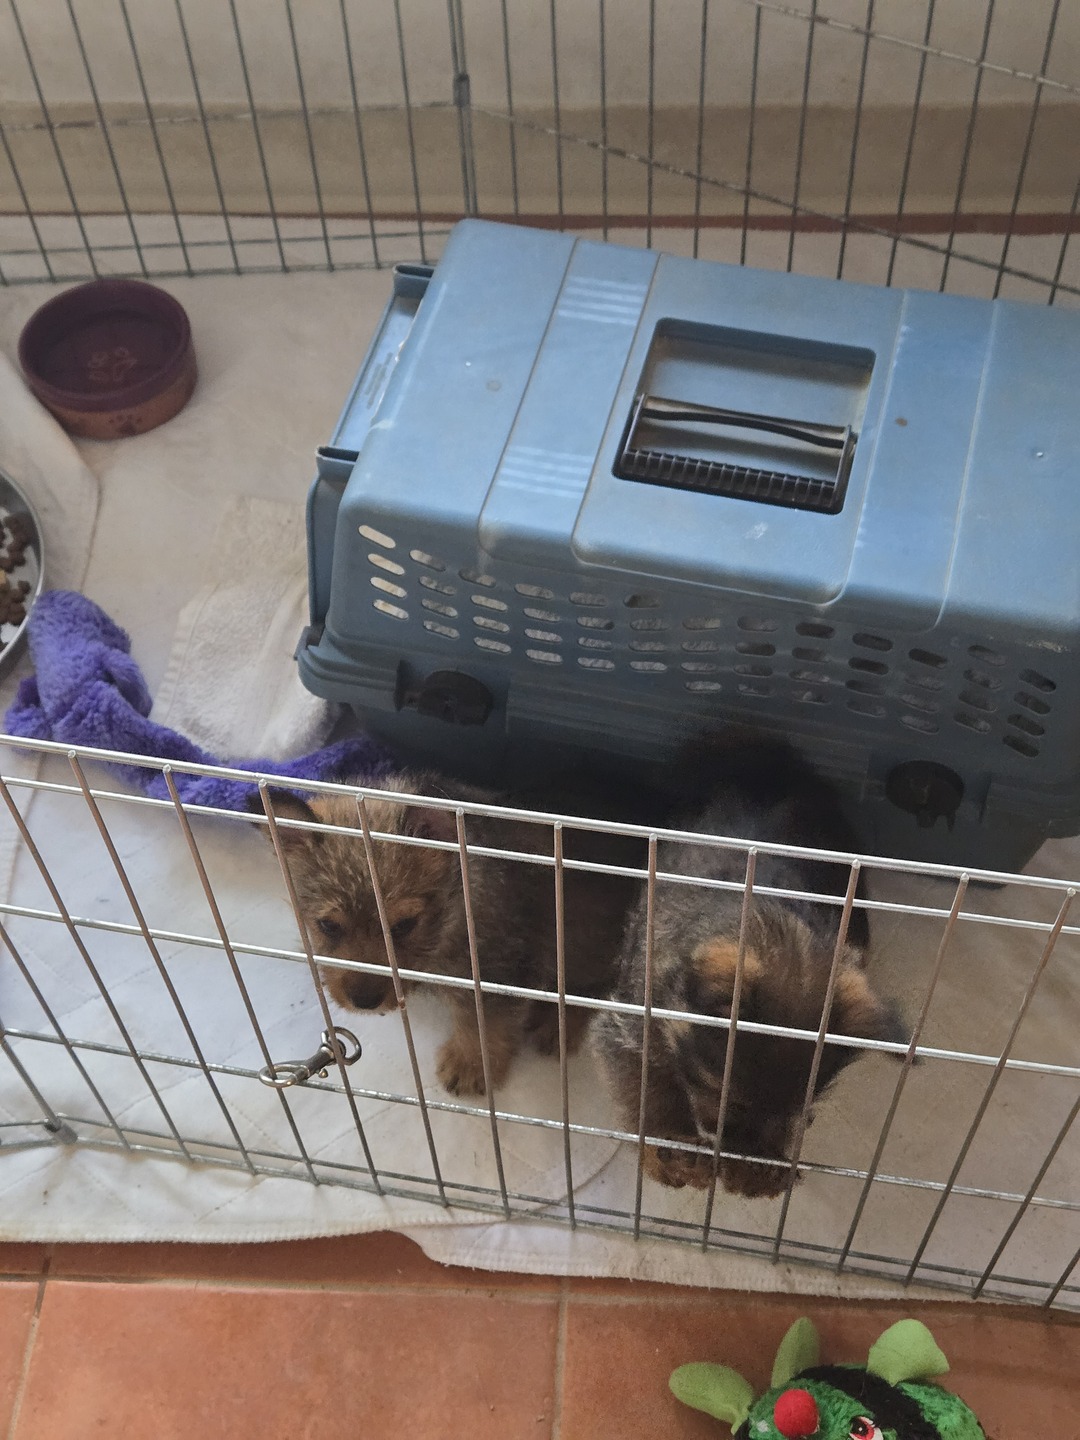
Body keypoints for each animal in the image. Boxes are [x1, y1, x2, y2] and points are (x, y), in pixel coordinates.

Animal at [257, 770, 640, 1096]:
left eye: (404, 925)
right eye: (328, 926)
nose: (364, 1001)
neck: (455, 912)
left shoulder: (497, 969)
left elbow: (481, 1022)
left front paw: (472, 1064)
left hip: (587, 946)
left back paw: (556, 1025)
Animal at [591, 740, 906, 1198]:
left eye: (794, 1110)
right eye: (729, 1101)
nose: (738, 1147)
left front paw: (760, 1162)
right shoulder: (627, 1030)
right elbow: (650, 1088)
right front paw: (673, 1144)